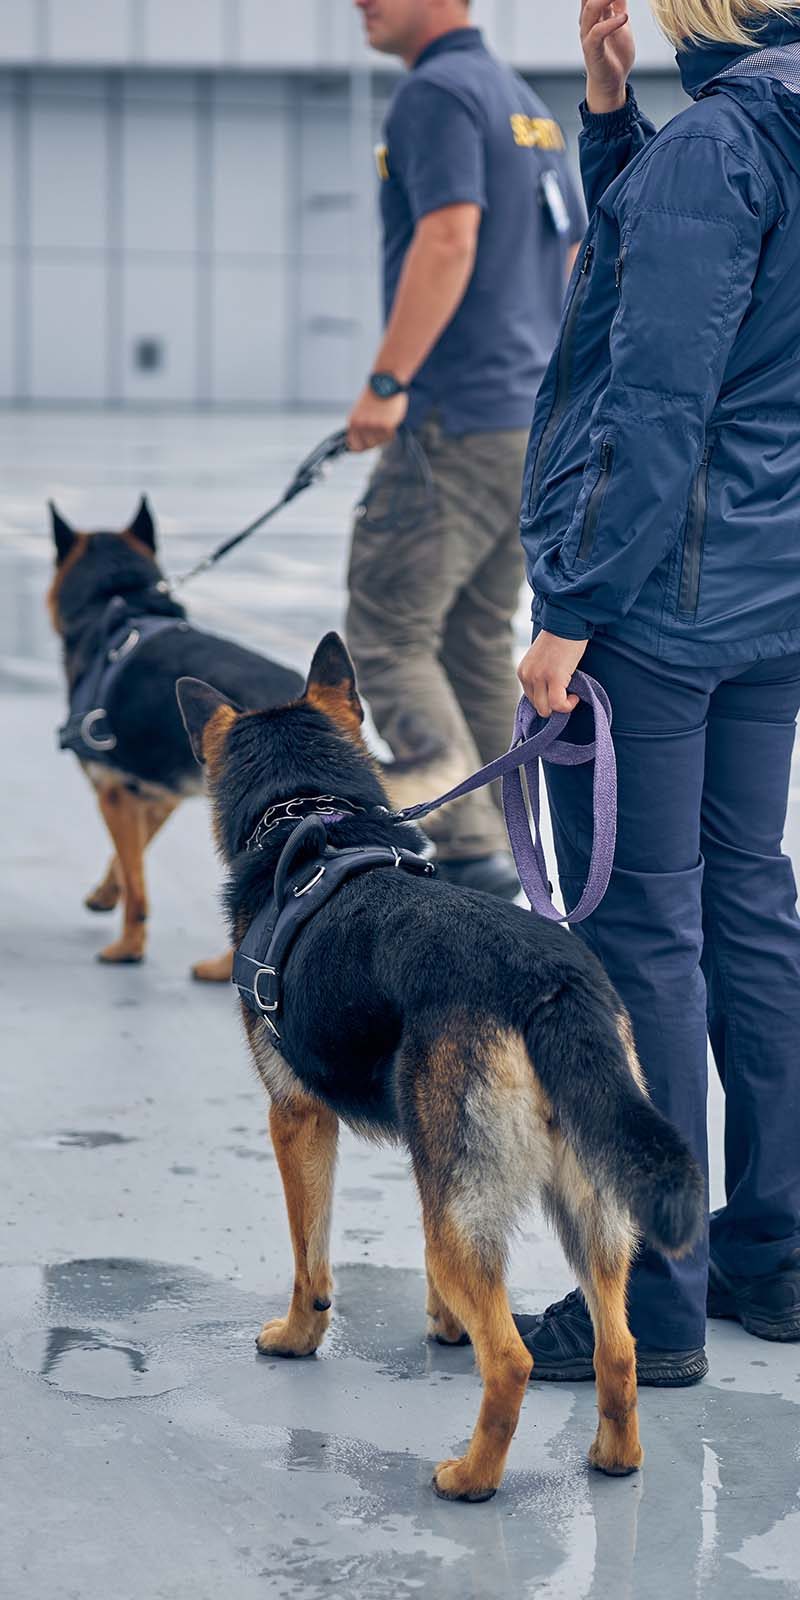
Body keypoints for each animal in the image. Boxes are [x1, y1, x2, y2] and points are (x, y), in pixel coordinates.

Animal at [47, 499, 302, 972]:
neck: (123, 601)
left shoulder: (113, 793)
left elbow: (136, 882)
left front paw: (127, 948)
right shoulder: (156, 796)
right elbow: (128, 858)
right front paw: (104, 894)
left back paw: (223, 968)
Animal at [178, 633, 704, 1497]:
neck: (313, 816)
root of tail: (547, 981)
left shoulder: (297, 1121)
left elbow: (310, 1259)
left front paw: (296, 1337)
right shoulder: (426, 1163)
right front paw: (445, 1326)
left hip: (466, 1216)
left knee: (512, 1361)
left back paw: (472, 1478)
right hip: (584, 1209)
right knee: (618, 1346)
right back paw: (614, 1458)